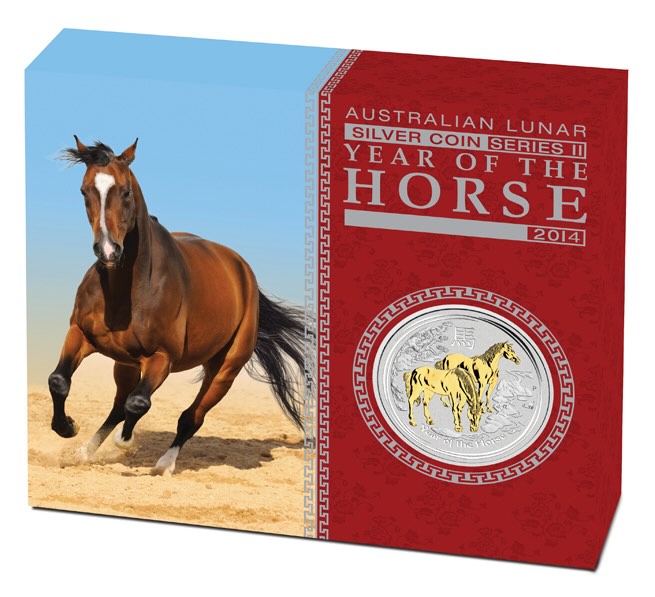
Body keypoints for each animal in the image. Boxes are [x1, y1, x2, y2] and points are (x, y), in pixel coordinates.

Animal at [48, 137, 306, 475]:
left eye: (125, 191)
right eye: (85, 190)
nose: (108, 251)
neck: (127, 290)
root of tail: (243, 271)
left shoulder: (162, 358)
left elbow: (138, 403)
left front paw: (125, 441)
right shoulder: (80, 334)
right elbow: (59, 381)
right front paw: (67, 427)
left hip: (225, 370)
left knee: (190, 417)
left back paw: (164, 465)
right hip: (126, 363)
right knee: (118, 406)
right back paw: (83, 453)